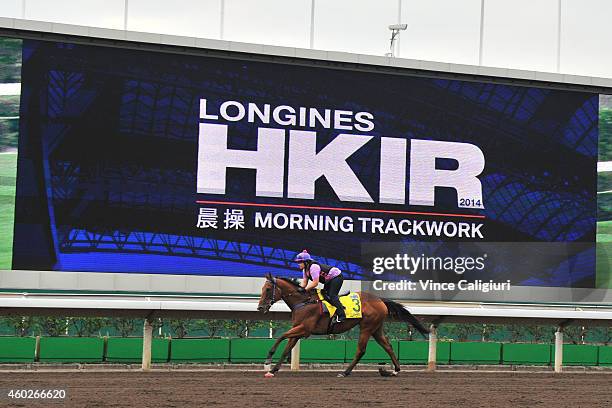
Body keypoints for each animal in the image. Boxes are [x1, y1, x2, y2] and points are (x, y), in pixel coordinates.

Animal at [256, 272, 428, 378]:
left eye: (268, 289)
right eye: (263, 288)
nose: (260, 308)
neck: (303, 301)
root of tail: (380, 300)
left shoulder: (304, 329)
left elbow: (282, 336)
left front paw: (268, 360)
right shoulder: (298, 329)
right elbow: (287, 348)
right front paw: (273, 370)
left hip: (366, 327)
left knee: (361, 350)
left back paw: (345, 372)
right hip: (376, 328)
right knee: (388, 346)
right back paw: (395, 371)